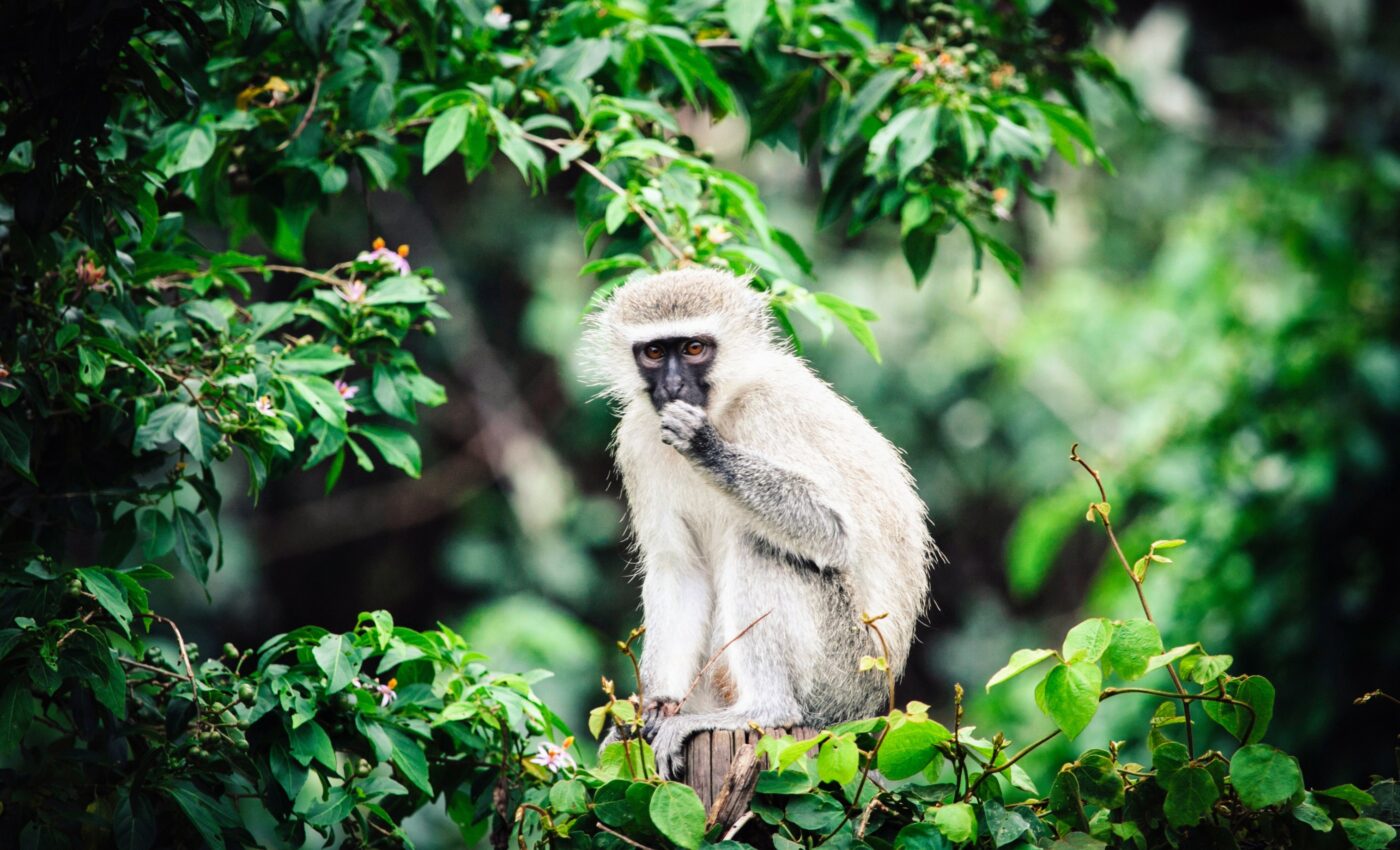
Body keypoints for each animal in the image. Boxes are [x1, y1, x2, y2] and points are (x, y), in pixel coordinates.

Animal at [580, 268, 935, 779]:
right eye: (654, 352)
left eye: (694, 348)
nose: (672, 385)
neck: (723, 407)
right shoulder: (638, 439)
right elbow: (679, 568)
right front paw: (656, 705)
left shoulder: (771, 409)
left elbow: (834, 532)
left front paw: (706, 448)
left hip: (842, 678)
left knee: (760, 545)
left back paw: (764, 709)